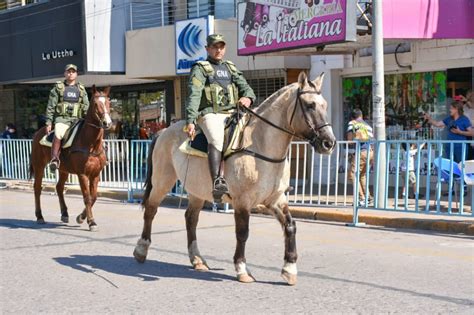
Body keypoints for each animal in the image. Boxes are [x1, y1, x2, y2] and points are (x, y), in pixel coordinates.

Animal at [29, 85, 112, 231]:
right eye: (96, 104)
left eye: (108, 102)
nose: (107, 122)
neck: (91, 144)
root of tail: (38, 132)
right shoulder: (82, 174)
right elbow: (87, 197)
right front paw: (91, 222)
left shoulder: (95, 174)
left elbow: (94, 196)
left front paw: (81, 217)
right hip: (39, 166)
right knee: (37, 188)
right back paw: (39, 216)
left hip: (63, 170)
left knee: (59, 188)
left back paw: (64, 213)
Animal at [131, 72, 336, 286]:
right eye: (310, 105)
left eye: (325, 105)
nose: (329, 143)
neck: (261, 145)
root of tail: (164, 131)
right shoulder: (242, 201)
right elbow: (243, 233)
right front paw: (242, 268)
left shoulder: (276, 199)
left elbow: (290, 226)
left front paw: (289, 269)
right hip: (162, 181)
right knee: (151, 210)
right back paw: (141, 250)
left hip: (196, 190)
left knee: (191, 219)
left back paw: (197, 259)